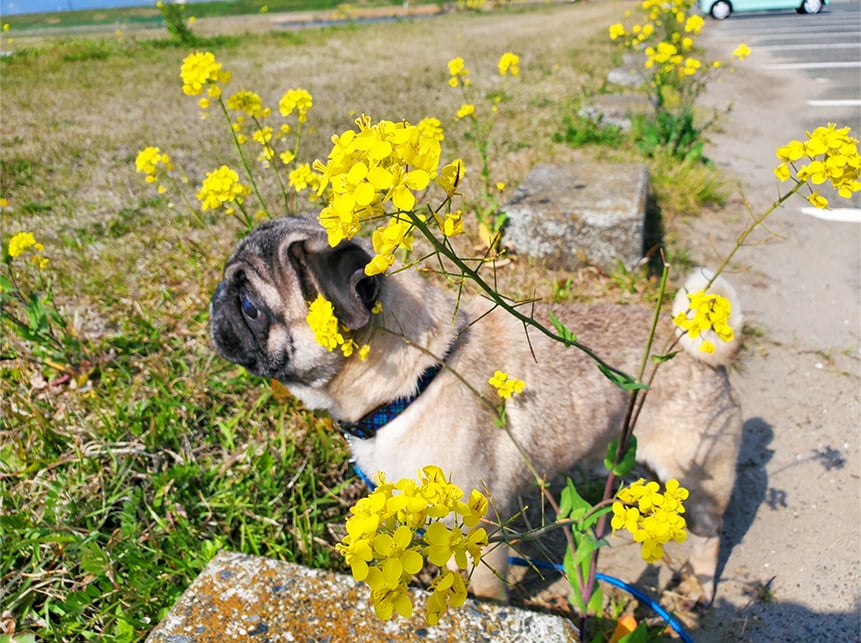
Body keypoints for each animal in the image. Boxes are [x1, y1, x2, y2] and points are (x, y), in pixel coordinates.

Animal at [212, 216, 744, 604]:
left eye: (251, 307)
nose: (218, 304)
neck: (417, 379)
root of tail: (688, 346)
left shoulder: (478, 536)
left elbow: (482, 590)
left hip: (697, 478)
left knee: (709, 535)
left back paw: (702, 587)